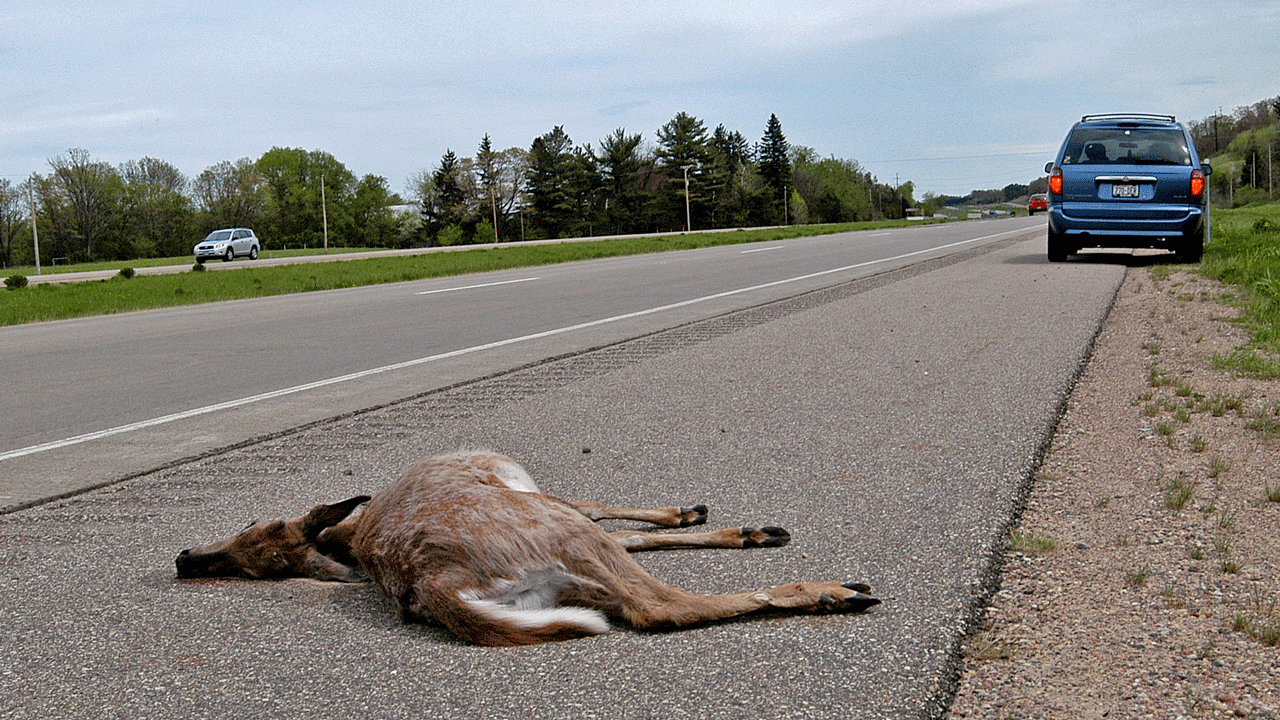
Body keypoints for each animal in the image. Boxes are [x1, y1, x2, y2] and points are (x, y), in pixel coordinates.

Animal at [177, 448, 880, 645]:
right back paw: (832, 590)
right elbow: (608, 510)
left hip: (559, 575)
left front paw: (711, 520)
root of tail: (431, 586)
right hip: (561, 536)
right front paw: (712, 518)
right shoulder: (542, 496)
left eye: (251, 531)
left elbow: (634, 530)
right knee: (660, 607)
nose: (185, 558)